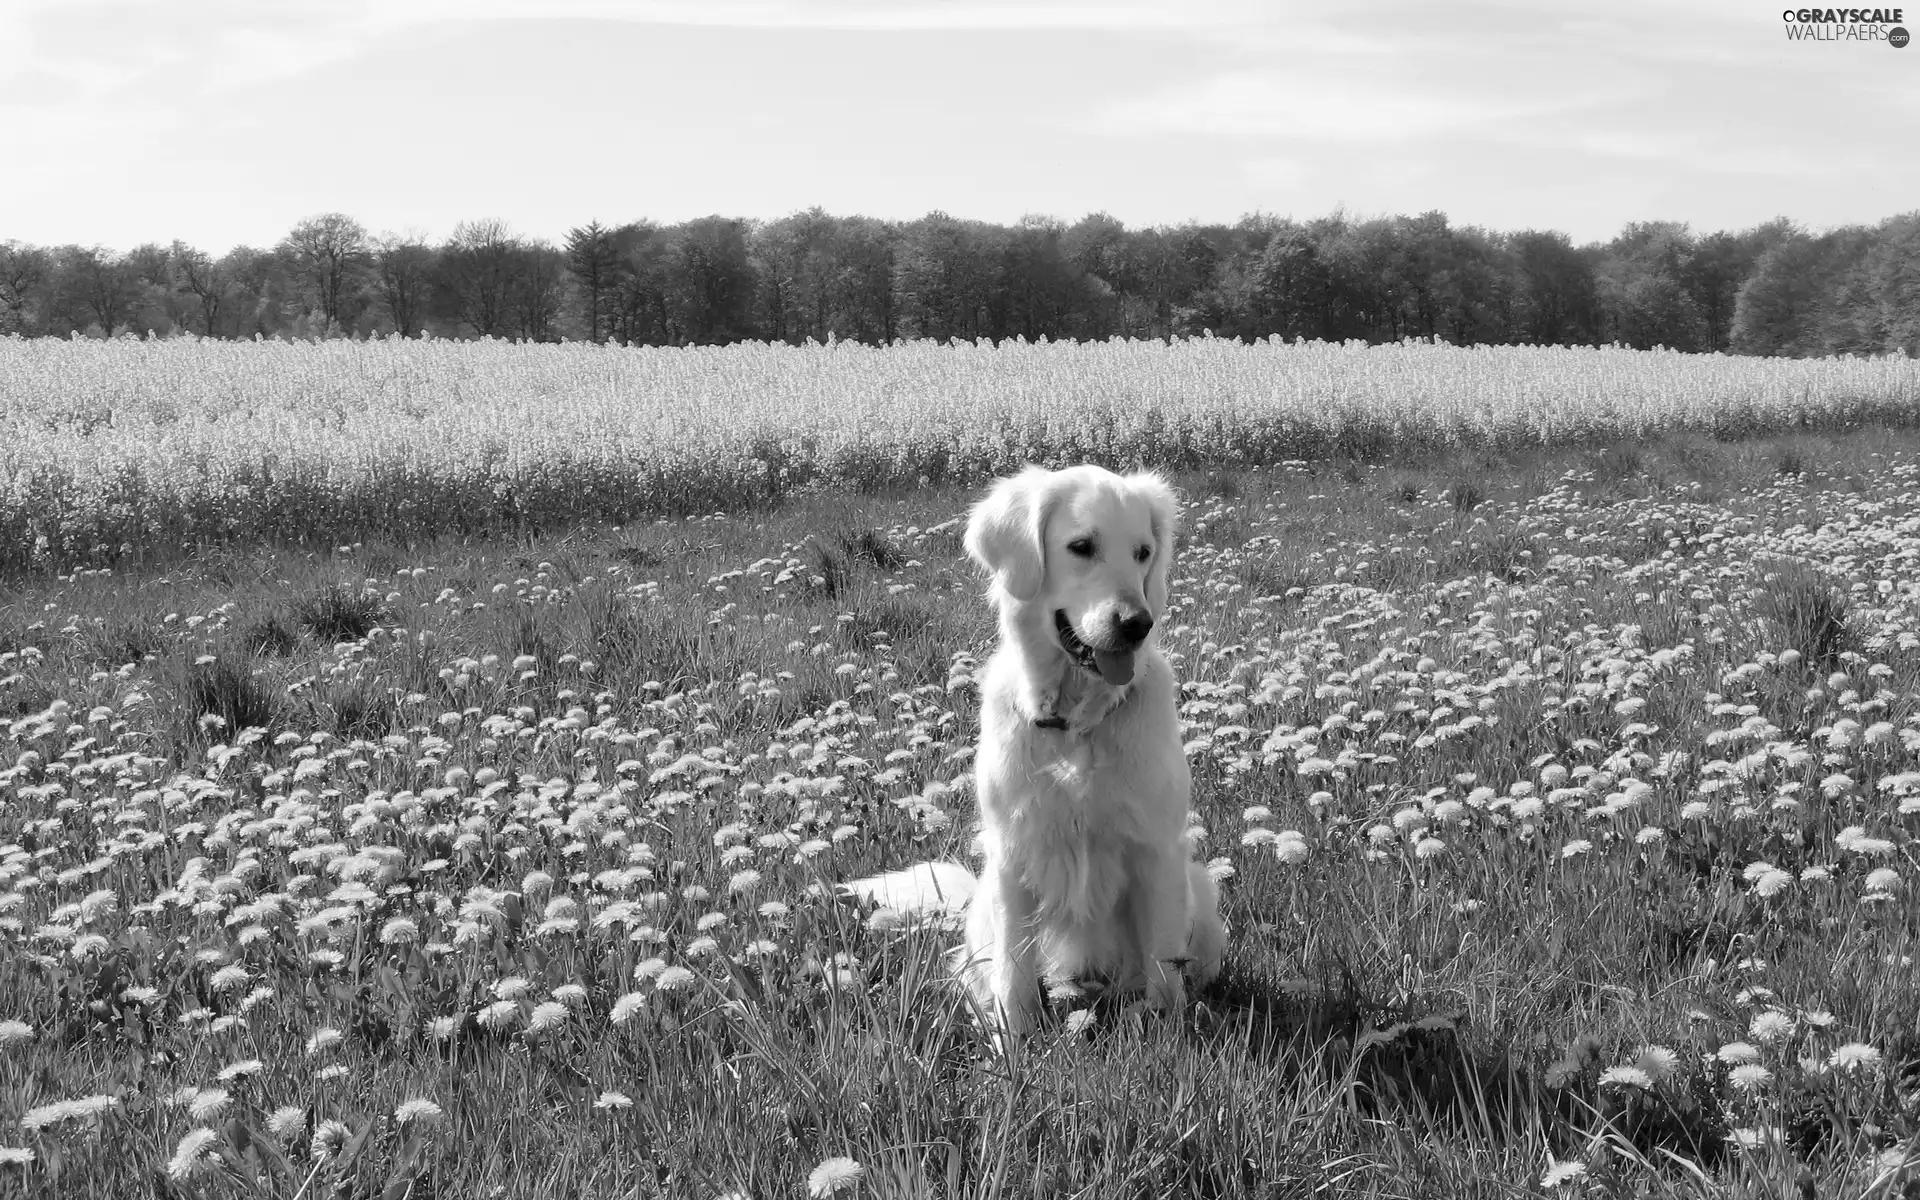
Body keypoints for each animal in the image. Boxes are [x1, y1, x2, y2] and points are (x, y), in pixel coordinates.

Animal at [848, 462, 1221, 1036]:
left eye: (1143, 552)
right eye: (1082, 546)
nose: (1138, 624)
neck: (1073, 722)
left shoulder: (1157, 849)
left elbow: (1162, 965)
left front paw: (1164, 1027)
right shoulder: (1012, 853)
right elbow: (1015, 969)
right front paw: (1013, 1041)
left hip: (1199, 890)